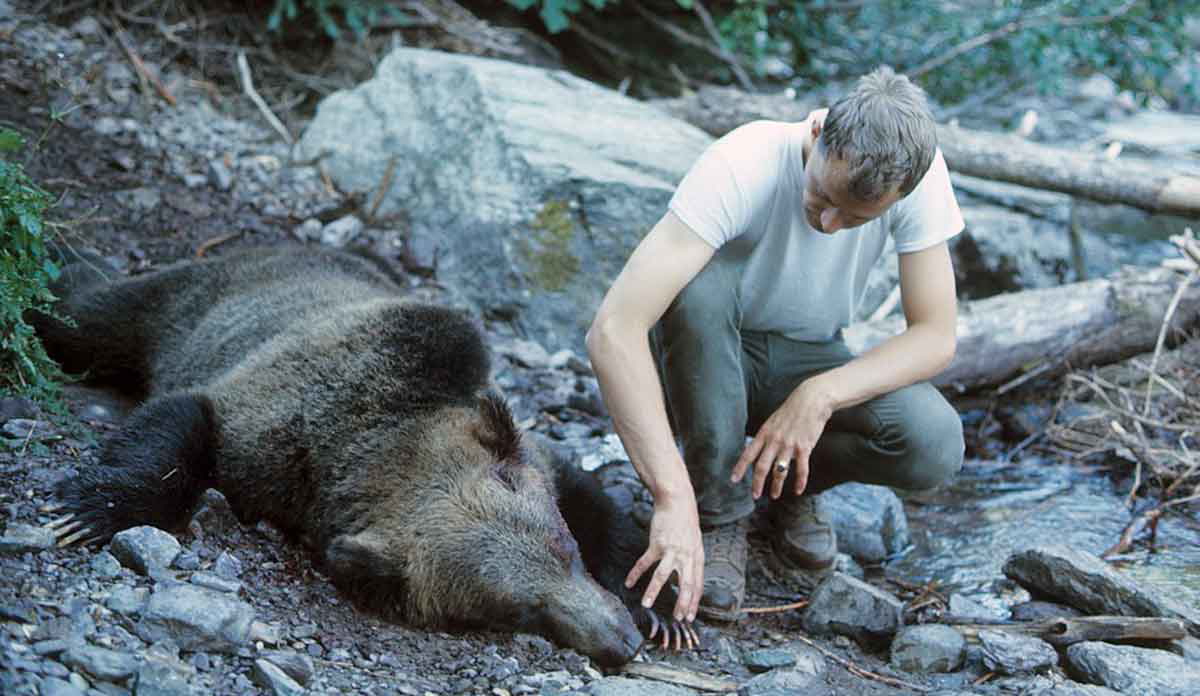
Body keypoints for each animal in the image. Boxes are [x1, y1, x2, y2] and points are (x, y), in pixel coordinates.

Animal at [32, 244, 697, 666]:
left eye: (566, 551)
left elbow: (595, 501)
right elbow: (185, 425)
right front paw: (88, 511)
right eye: (521, 610)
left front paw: (660, 604)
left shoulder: (515, 438)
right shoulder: (265, 430)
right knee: (86, 317)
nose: (621, 642)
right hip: (181, 303)